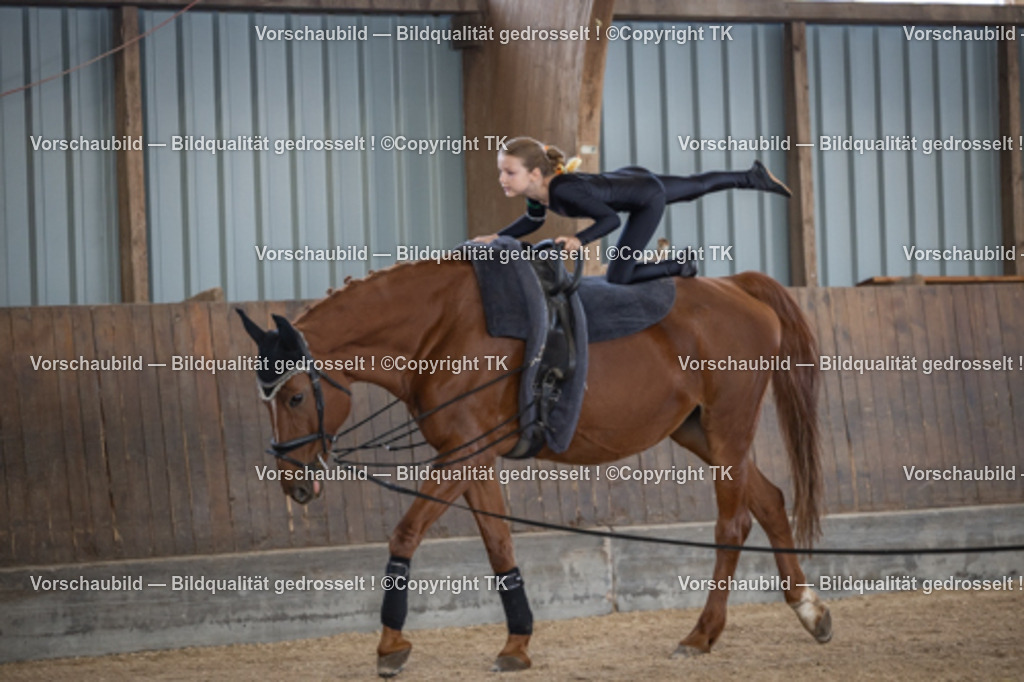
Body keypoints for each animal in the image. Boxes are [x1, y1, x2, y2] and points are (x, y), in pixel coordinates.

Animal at [237, 258, 832, 676]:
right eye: (264, 400)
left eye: (293, 397)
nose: (295, 484)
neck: (444, 329)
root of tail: (737, 287)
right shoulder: (474, 458)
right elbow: (499, 544)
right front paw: (517, 643)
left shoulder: (462, 454)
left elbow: (406, 533)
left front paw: (390, 646)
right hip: (700, 433)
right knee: (771, 500)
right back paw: (810, 611)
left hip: (727, 431)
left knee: (733, 524)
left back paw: (701, 635)